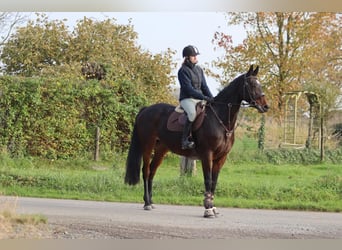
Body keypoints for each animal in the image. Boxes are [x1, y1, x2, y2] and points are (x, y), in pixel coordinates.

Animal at [124, 64, 268, 217]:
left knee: (152, 171)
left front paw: (213, 207)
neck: (220, 119)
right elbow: (208, 180)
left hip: (161, 149)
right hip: (148, 145)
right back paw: (146, 203)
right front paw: (208, 208)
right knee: (146, 170)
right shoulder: (207, 155)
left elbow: (214, 181)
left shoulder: (221, 158)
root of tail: (146, 110)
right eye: (252, 84)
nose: (265, 106)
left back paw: (150, 201)